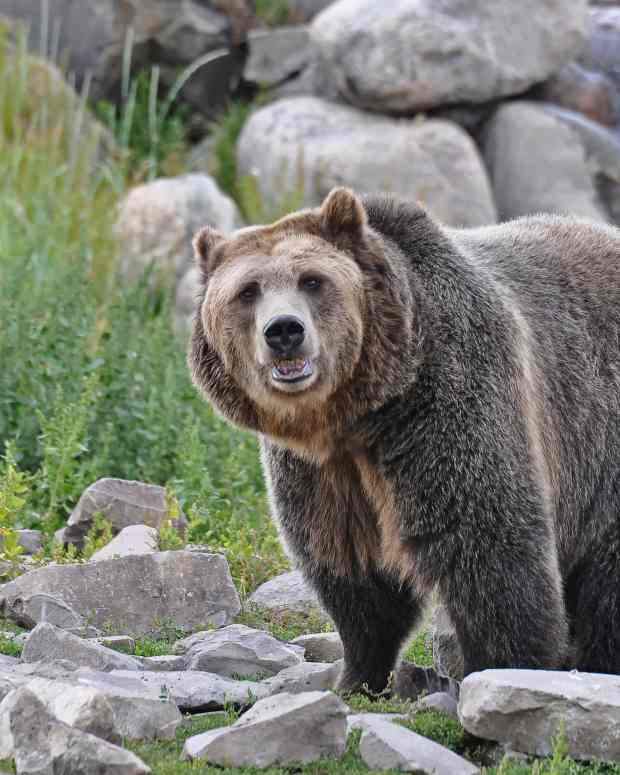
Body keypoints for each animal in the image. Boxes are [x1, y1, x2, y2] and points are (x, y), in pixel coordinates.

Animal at [189, 187, 620, 694]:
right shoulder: (323, 470)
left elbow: (486, 537)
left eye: (312, 280)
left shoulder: (449, 401)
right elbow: (352, 567)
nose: (284, 331)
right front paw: (357, 673)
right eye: (248, 290)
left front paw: (510, 666)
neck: (360, 412)